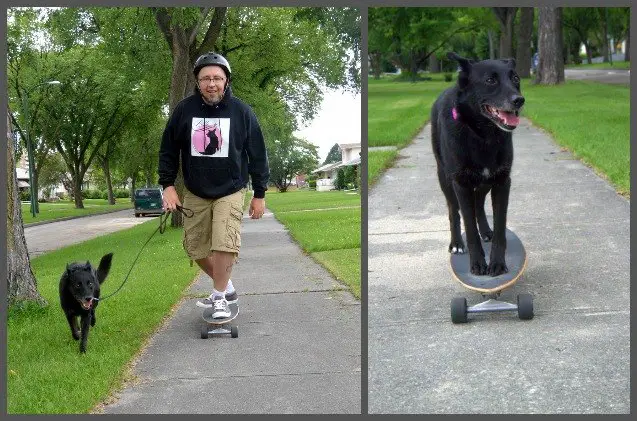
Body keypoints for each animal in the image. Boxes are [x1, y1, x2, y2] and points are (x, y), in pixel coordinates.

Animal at [430, 51, 524, 276]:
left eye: (515, 78)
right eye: (490, 80)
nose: (519, 100)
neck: (483, 135)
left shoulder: (501, 181)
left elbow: (500, 225)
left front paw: (497, 262)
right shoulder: (461, 183)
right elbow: (469, 226)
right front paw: (478, 263)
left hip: (485, 182)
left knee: (479, 203)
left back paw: (486, 230)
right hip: (445, 178)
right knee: (454, 211)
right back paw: (456, 243)